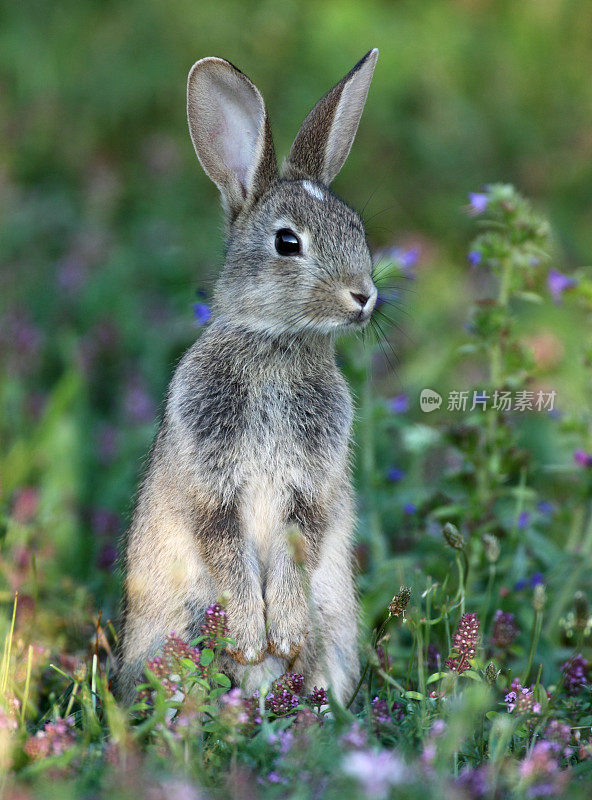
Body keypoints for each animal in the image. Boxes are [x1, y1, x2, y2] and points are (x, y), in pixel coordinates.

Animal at [117, 48, 380, 708]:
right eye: (288, 242)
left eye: (357, 229)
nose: (365, 296)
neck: (274, 345)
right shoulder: (211, 478)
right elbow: (225, 544)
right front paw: (251, 638)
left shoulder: (311, 483)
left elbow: (297, 541)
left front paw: (279, 634)